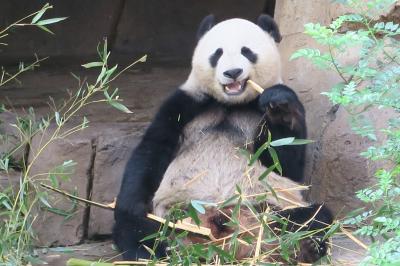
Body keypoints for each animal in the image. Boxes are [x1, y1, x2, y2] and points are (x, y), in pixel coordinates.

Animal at [111, 15, 332, 264]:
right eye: (217, 53)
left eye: (247, 51)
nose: (233, 72)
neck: (231, 103)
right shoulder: (186, 104)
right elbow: (151, 151)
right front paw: (132, 210)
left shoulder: (262, 111)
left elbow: (284, 164)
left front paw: (280, 107)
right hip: (174, 215)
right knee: (138, 229)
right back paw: (148, 251)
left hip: (267, 206)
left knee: (311, 217)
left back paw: (303, 246)